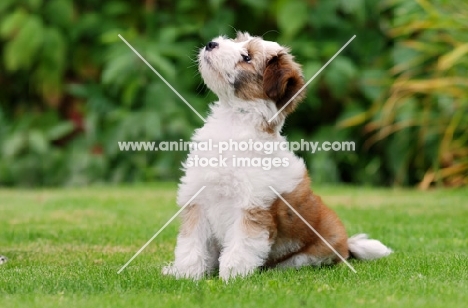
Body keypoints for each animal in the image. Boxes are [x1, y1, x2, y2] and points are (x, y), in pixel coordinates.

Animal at [164, 32, 392, 280]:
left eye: (247, 57)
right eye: (235, 40)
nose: (211, 43)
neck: (234, 118)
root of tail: (345, 246)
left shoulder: (253, 207)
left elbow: (242, 244)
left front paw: (232, 275)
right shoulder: (198, 199)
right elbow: (191, 242)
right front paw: (186, 273)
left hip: (312, 252)